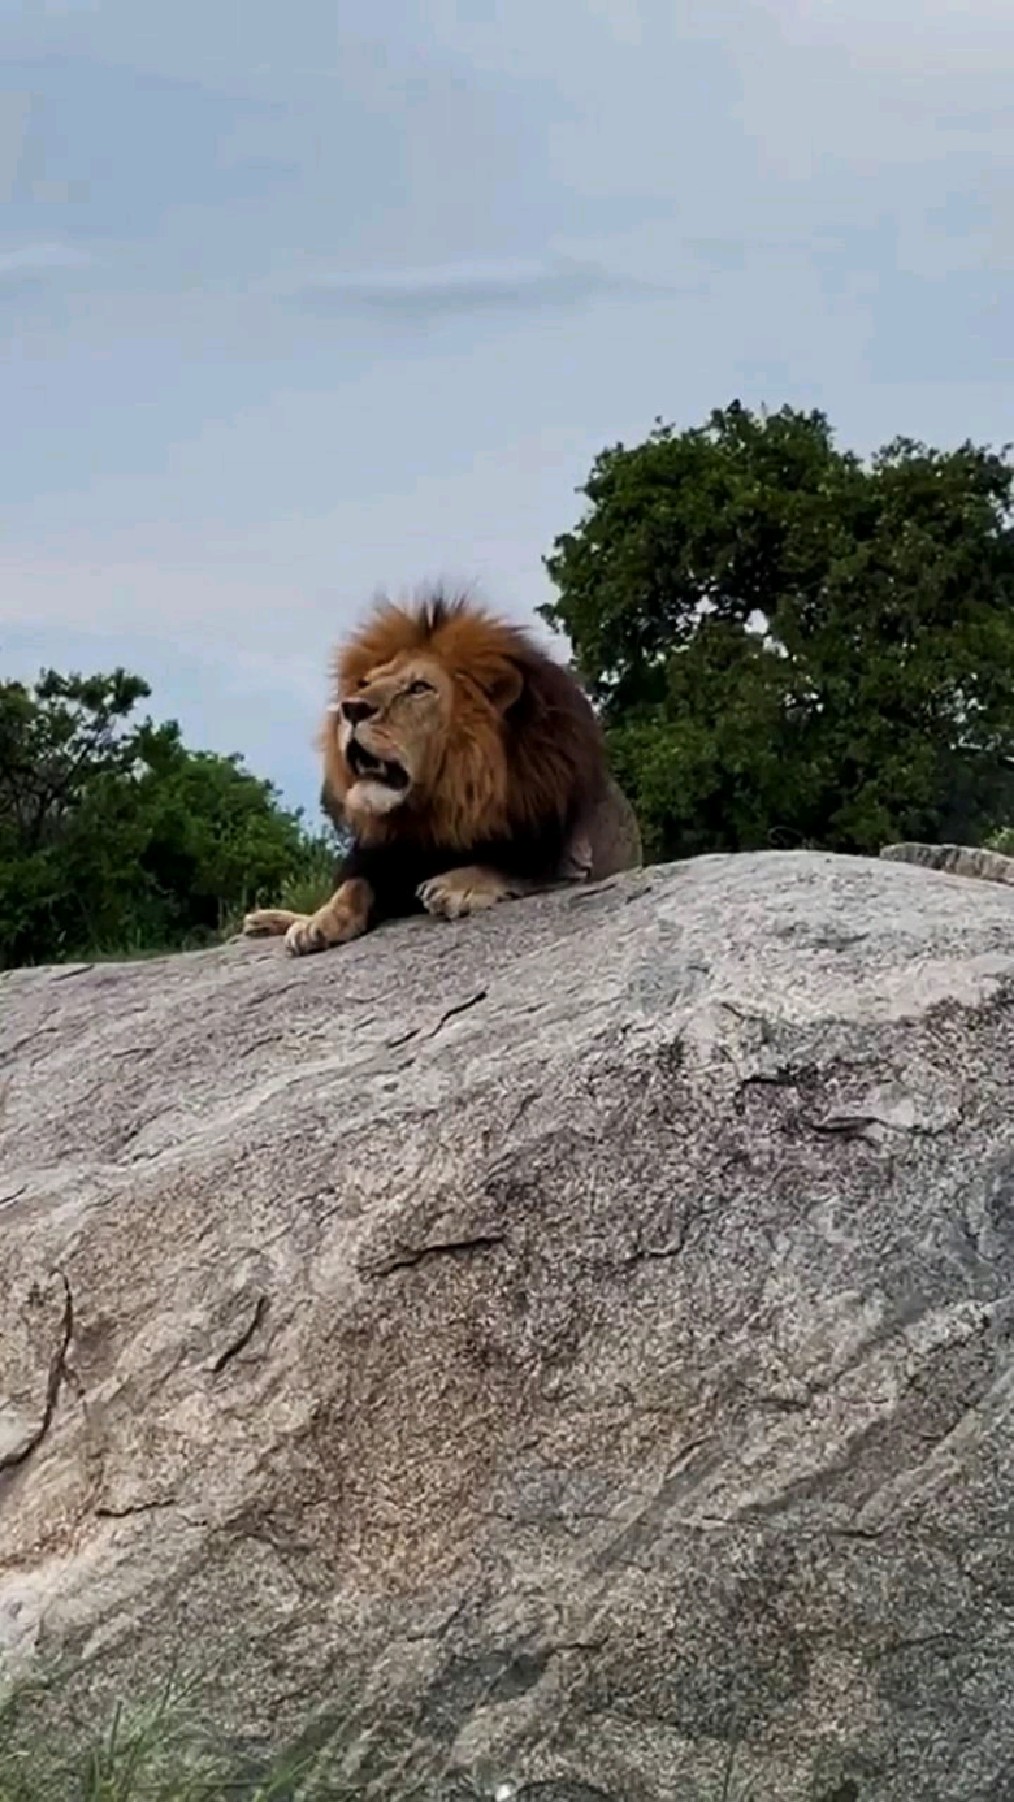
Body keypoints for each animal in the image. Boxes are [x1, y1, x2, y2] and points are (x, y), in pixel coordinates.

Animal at [241, 591, 641, 958]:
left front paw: (457, 885)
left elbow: (512, 868)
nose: (350, 708)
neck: (436, 807)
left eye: (419, 688)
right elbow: (354, 886)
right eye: (365, 684)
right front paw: (319, 921)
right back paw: (266, 920)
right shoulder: (384, 857)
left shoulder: (570, 863)